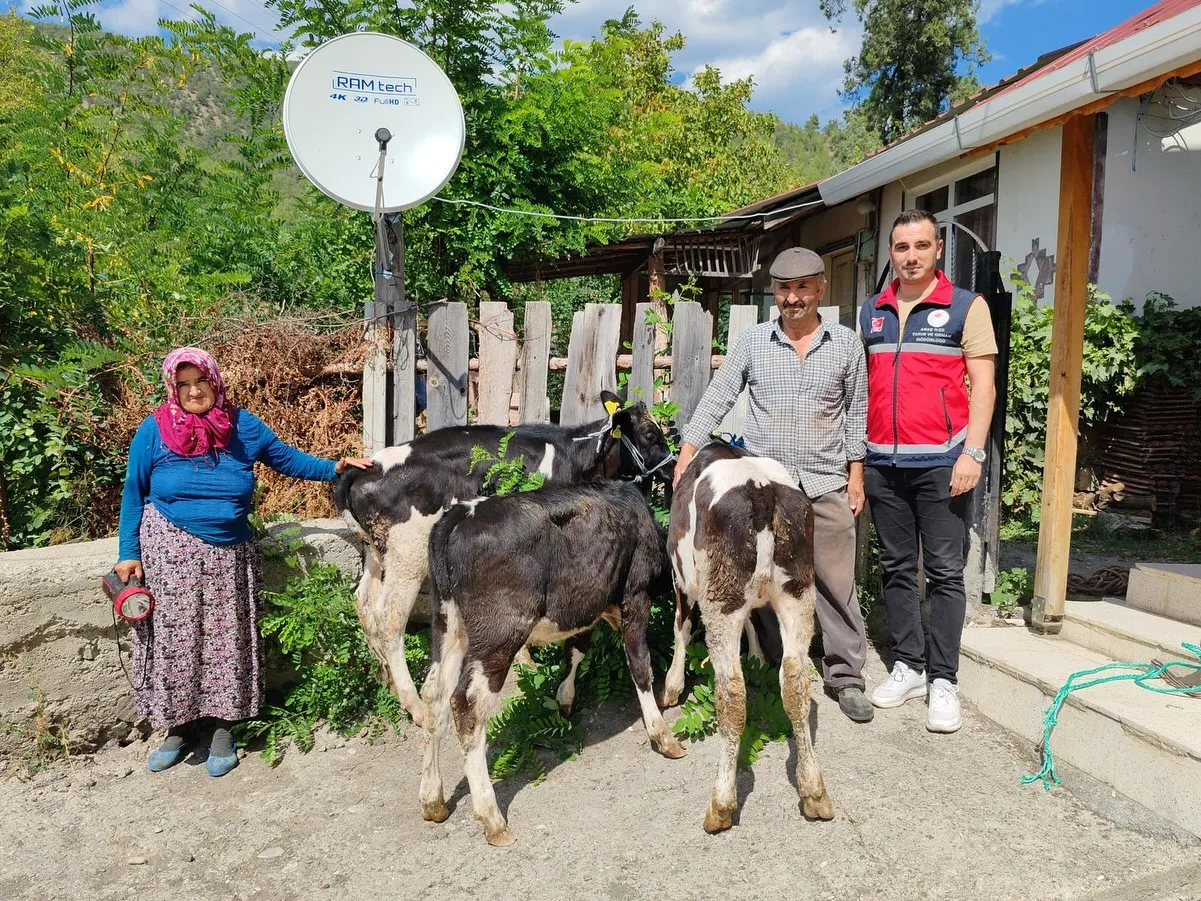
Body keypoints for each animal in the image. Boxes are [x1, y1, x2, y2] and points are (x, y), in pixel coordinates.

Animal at [336, 391, 677, 730]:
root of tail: (365, 468)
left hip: (377, 555)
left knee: (364, 604)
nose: (673, 468)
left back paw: (387, 680)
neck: (574, 453)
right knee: (389, 620)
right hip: (408, 555)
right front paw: (529, 661)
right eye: (650, 435)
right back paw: (414, 705)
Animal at [422, 482, 686, 850]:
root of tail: (461, 513)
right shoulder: (636, 594)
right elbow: (639, 663)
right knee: (467, 704)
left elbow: (576, 650)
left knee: (433, 695)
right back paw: (492, 819)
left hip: (447, 624)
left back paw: (432, 799)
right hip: (501, 632)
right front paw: (662, 735)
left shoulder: (587, 603)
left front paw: (565, 698)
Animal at [667, 442, 835, 831]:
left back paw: (721, 804)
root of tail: (761, 490)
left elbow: (681, 627)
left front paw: (672, 684)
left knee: (730, 692)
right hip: (798, 591)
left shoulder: (681, 578)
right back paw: (814, 792)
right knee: (796, 681)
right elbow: (754, 623)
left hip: (720, 597)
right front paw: (758, 658)